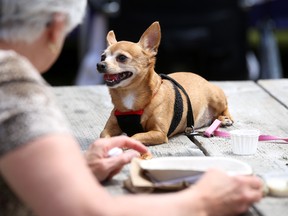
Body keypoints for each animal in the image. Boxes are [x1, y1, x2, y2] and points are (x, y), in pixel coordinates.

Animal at [98, 21, 233, 145]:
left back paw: (225, 119)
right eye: (102, 57)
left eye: (122, 58)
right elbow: (103, 137)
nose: (100, 64)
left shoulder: (159, 133)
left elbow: (135, 137)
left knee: (225, 107)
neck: (129, 95)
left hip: (216, 97)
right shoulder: (108, 129)